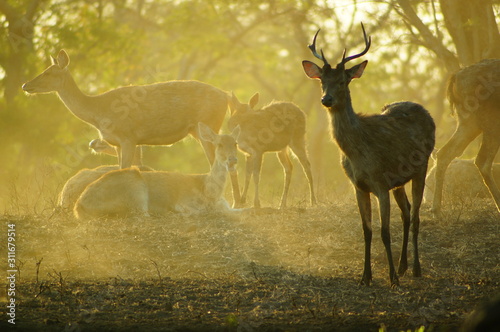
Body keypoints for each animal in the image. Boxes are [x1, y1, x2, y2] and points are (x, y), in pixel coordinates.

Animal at [22, 49, 241, 206]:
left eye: (48, 72)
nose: (25, 85)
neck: (98, 111)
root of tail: (225, 95)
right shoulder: (118, 143)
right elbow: (119, 169)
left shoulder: (128, 138)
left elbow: (124, 169)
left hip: (208, 124)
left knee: (220, 162)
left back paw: (233, 202)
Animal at [73, 123, 242, 219]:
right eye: (219, 144)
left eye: (236, 143)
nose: (232, 160)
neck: (210, 192)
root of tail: (78, 206)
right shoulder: (184, 202)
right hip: (135, 190)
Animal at [302, 24, 436, 288]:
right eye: (322, 80)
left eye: (343, 81)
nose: (326, 99)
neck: (357, 155)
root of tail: (428, 113)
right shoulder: (359, 186)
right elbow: (367, 231)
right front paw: (366, 277)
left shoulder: (380, 183)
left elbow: (384, 232)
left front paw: (392, 279)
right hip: (399, 182)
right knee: (406, 212)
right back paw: (404, 266)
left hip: (422, 167)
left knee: (416, 216)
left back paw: (415, 269)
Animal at [432, 58, 498, 214]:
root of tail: (455, 77)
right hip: (490, 122)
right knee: (482, 161)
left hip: (468, 123)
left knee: (445, 153)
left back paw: (436, 209)